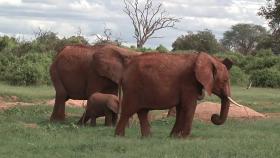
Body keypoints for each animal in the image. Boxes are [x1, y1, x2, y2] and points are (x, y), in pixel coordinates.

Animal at [96, 52, 241, 138]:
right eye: (225, 80)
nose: (213, 116)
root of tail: (125, 69)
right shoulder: (188, 82)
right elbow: (189, 107)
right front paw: (184, 138)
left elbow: (181, 108)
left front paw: (174, 138)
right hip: (133, 88)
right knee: (128, 111)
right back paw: (119, 137)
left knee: (142, 112)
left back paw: (147, 138)